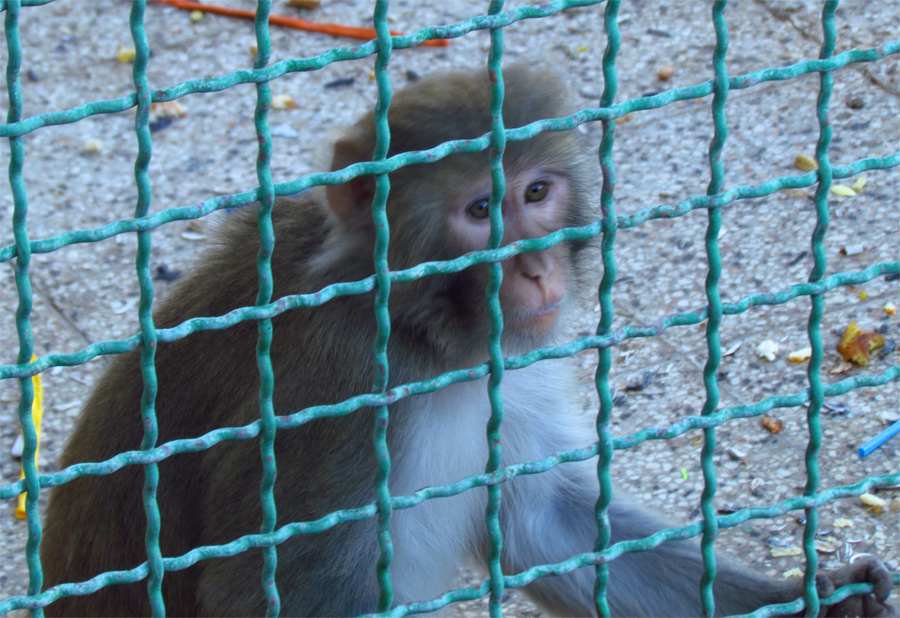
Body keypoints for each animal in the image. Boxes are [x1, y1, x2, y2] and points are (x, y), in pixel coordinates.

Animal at [39, 66, 896, 617]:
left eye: (537, 192)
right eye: (481, 209)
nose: (536, 269)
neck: (424, 338)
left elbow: (550, 521)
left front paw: (819, 604)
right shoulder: (337, 399)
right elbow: (270, 593)